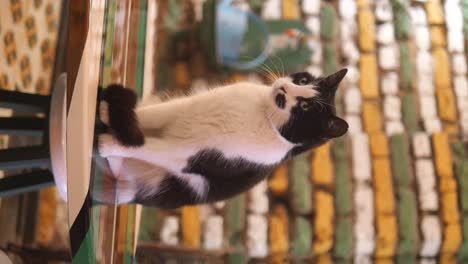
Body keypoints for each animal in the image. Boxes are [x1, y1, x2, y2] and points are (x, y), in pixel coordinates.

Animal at [97, 68, 350, 208]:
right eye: (303, 81)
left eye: (305, 107)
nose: (285, 88)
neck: (260, 113)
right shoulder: (180, 109)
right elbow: (149, 115)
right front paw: (106, 112)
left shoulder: (190, 157)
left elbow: (147, 146)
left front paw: (109, 144)